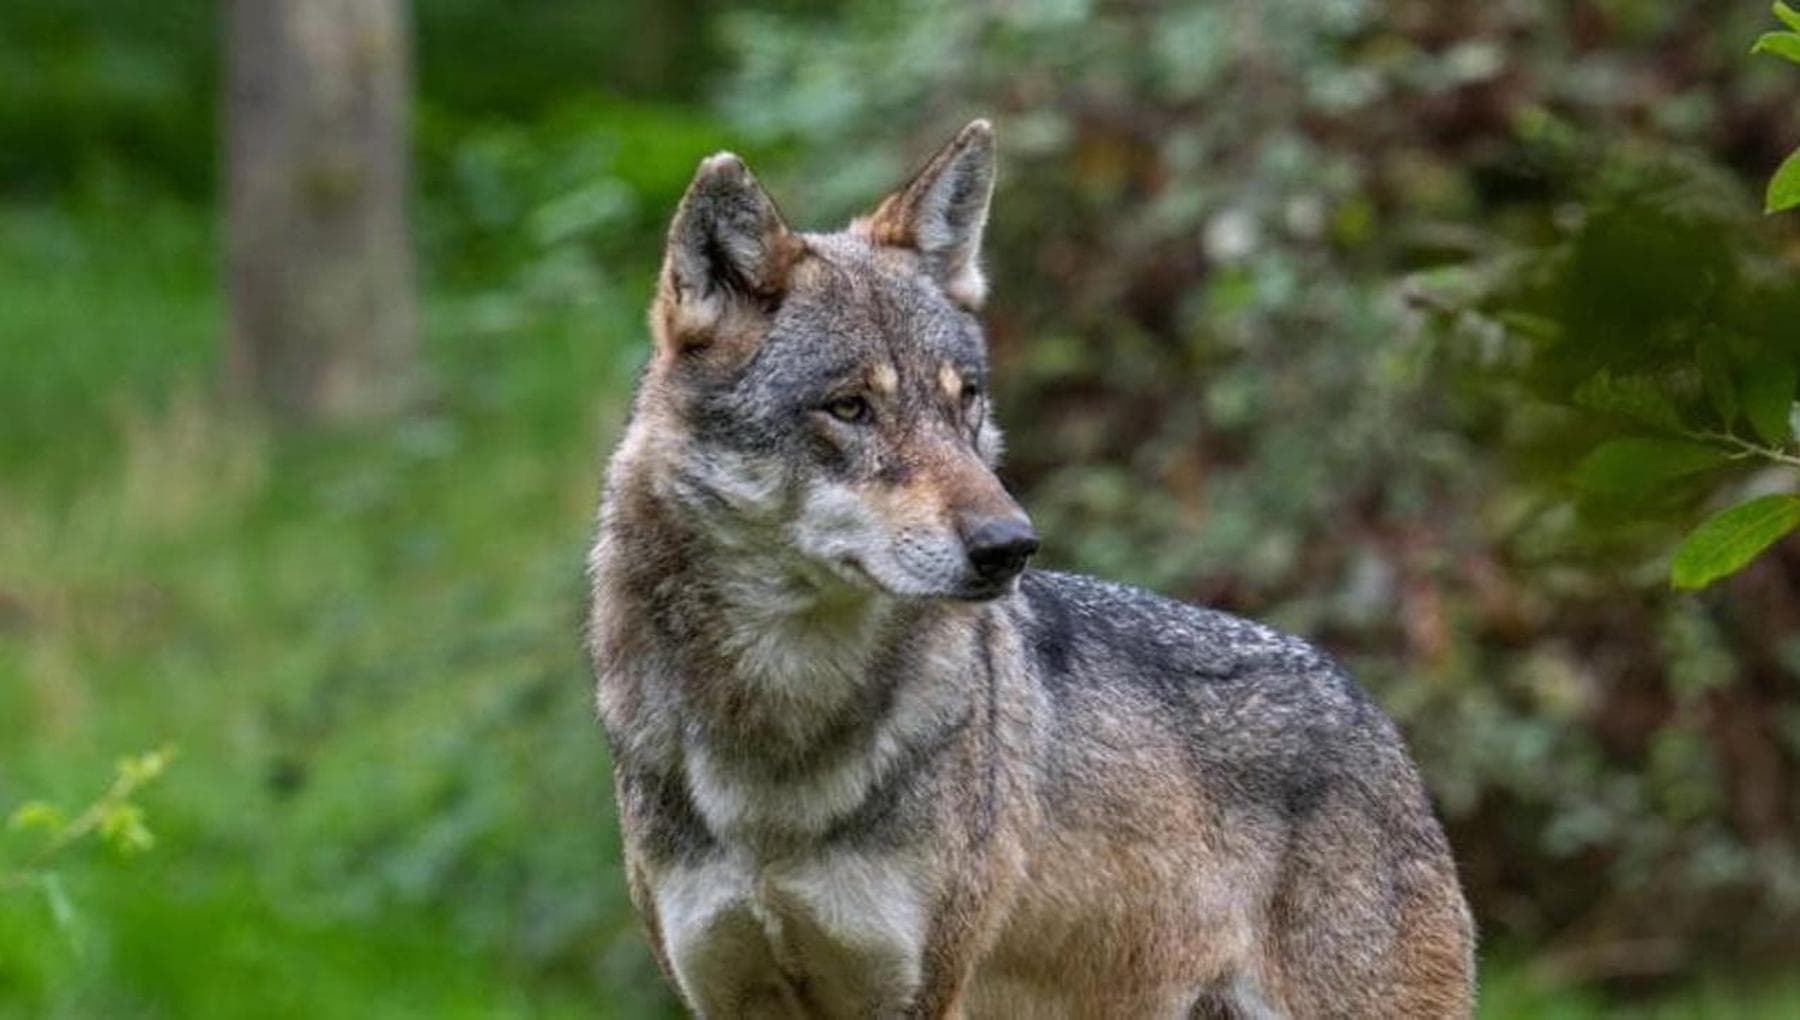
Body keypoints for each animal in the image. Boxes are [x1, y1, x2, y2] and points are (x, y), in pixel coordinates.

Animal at [587, 120, 1475, 1018]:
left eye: (965, 400)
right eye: (849, 408)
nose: (1010, 545)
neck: (774, 746)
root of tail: (1366, 705)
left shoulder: (922, 992)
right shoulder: (722, 993)